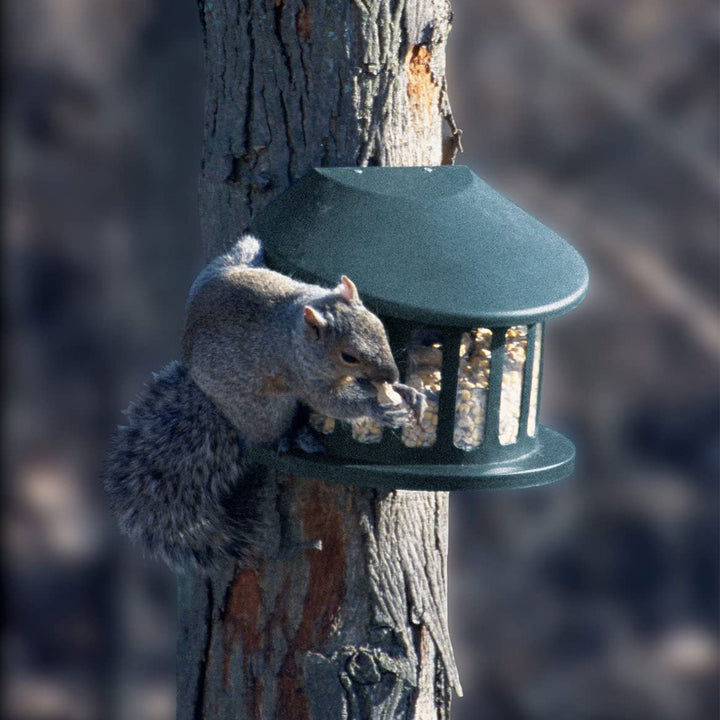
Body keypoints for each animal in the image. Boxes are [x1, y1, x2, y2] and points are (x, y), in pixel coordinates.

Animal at [104, 234, 425, 572]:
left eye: (379, 326)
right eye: (348, 356)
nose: (391, 373)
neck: (296, 331)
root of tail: (211, 399)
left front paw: (405, 391)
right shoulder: (302, 375)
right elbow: (333, 403)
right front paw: (379, 408)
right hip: (263, 410)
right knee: (267, 434)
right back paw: (294, 437)